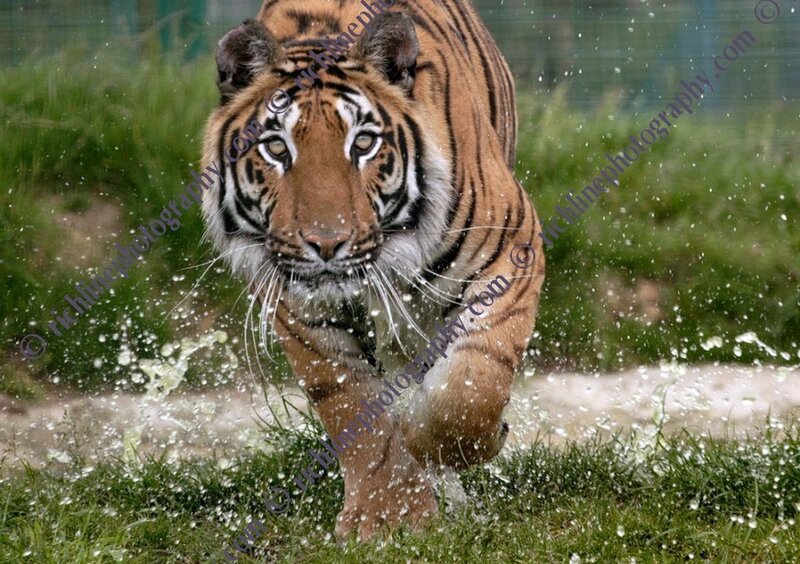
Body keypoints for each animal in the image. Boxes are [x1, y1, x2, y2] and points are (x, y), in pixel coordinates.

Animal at [201, 0, 545, 540]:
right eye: (276, 149)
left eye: (362, 144)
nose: (326, 243)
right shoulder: (301, 312)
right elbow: (353, 408)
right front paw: (389, 513)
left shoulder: (513, 248)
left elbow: (472, 387)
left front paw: (443, 442)